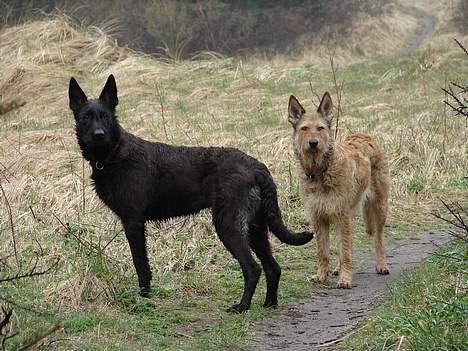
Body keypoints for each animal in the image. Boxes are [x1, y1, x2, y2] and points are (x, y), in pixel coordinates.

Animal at [67, 75, 312, 314]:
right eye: (85, 118)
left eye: (106, 117)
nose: (99, 134)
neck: (114, 153)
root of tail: (256, 165)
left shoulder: (133, 222)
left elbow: (141, 264)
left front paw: (144, 297)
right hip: (255, 228)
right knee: (273, 268)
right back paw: (269, 303)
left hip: (228, 225)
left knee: (253, 268)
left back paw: (242, 306)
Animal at [288, 93, 390, 288]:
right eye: (304, 129)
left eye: (320, 128)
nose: (313, 143)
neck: (321, 172)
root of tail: (366, 136)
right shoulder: (319, 217)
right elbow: (324, 252)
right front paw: (322, 276)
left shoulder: (342, 215)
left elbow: (346, 251)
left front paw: (345, 279)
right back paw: (337, 268)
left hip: (379, 207)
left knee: (379, 239)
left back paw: (381, 265)